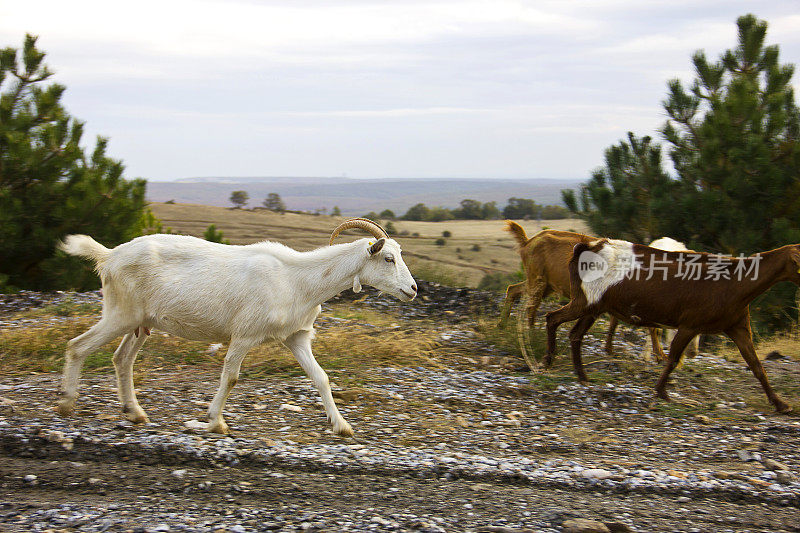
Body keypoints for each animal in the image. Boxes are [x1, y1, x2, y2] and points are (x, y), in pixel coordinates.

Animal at [57, 218, 418, 434]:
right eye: (388, 259)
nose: (413, 289)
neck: (298, 279)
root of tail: (109, 255)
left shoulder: (297, 337)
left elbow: (322, 378)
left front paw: (341, 425)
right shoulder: (245, 334)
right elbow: (230, 377)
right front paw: (215, 421)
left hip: (142, 322)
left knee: (121, 359)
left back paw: (134, 412)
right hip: (121, 313)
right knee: (77, 346)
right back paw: (66, 403)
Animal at [548, 239, 796, 414]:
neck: (736, 282)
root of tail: (587, 246)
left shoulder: (738, 328)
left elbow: (756, 366)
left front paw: (781, 404)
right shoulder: (690, 325)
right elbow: (674, 358)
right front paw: (662, 392)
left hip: (593, 307)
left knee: (575, 335)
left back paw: (581, 375)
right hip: (586, 301)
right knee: (553, 318)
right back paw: (549, 360)